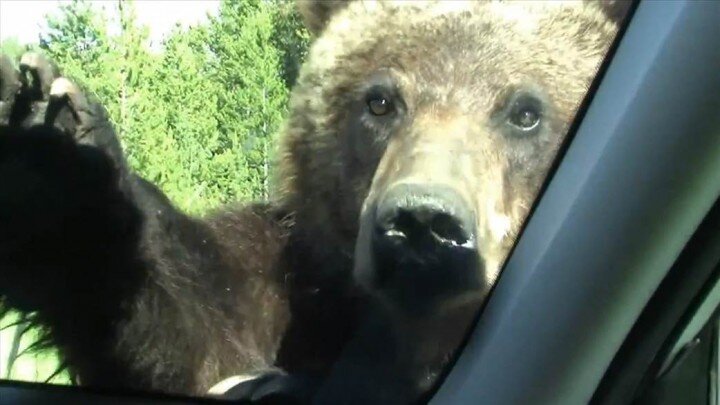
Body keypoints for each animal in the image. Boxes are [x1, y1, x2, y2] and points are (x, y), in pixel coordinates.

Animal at [0, 0, 631, 403]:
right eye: (380, 101)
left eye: (524, 111)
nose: (422, 222)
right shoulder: (292, 282)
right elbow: (201, 337)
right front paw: (51, 138)